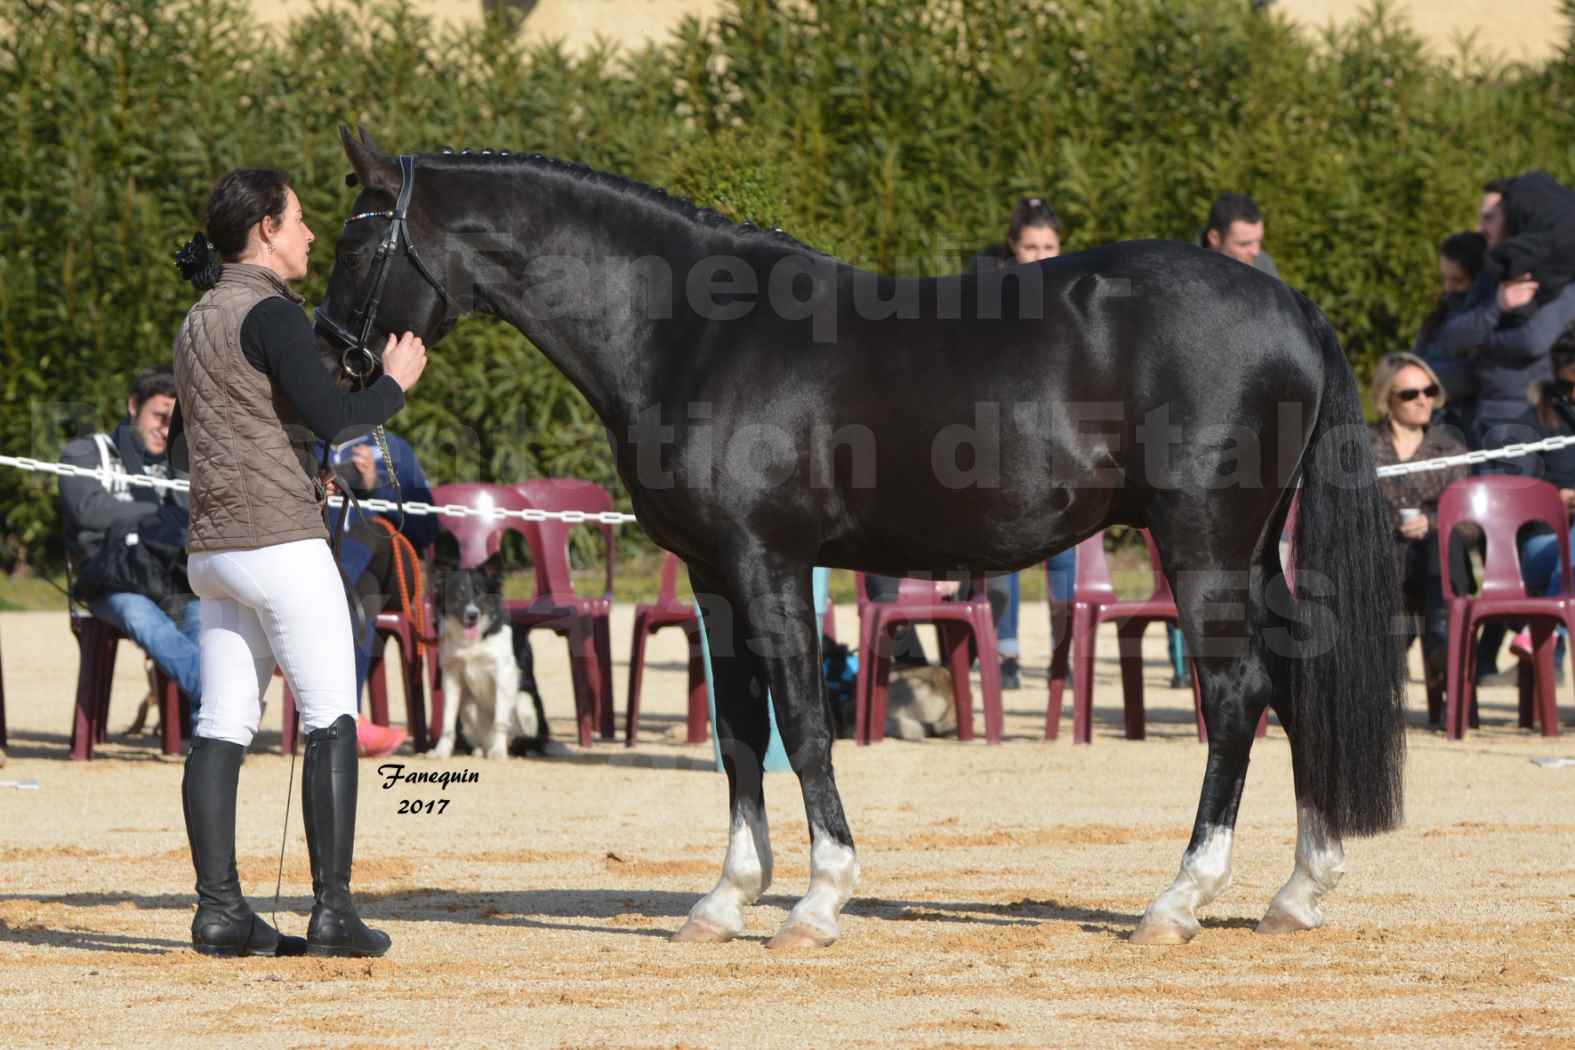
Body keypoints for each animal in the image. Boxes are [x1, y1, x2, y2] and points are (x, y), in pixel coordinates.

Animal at [431, 550, 554, 765]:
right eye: (458, 595)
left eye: (481, 593)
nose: (472, 615)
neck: (474, 640)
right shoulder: (451, 677)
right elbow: (447, 722)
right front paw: (441, 751)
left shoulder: (504, 675)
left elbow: (500, 721)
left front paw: (498, 752)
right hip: (469, 708)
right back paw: (481, 750)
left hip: (524, 702)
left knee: (525, 741)